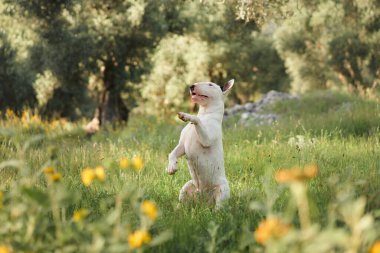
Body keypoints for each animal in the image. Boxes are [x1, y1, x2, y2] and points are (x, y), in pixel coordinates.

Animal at [167, 79, 233, 208]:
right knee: (183, 199)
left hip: (222, 190)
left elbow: (196, 119)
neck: (206, 114)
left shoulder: (206, 139)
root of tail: (204, 201)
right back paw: (178, 208)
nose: (191, 86)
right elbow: (172, 153)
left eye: (210, 84)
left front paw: (187, 115)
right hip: (187, 186)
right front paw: (171, 166)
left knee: (219, 206)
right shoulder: (182, 145)